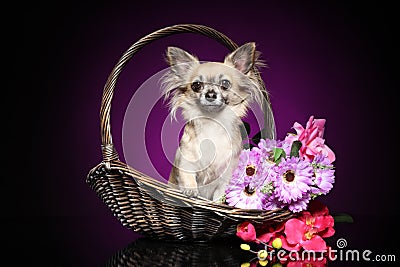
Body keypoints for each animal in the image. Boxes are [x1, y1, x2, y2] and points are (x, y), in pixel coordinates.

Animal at [159, 42, 266, 201]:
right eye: (196, 85)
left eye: (225, 84)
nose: (210, 94)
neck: (213, 122)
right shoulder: (186, 160)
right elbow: (187, 175)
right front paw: (190, 190)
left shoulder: (225, 177)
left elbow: (220, 195)